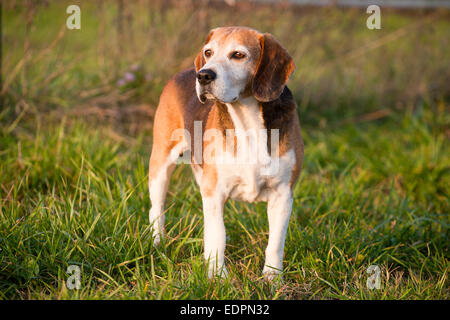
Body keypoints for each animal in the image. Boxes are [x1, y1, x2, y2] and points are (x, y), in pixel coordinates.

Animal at [148, 26, 302, 278]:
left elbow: (275, 243)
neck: (247, 120)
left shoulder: (283, 195)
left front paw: (272, 279)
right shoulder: (214, 192)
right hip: (160, 164)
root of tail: (185, 71)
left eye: (238, 55)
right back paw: (157, 242)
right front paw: (217, 277)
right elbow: (217, 235)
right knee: (157, 208)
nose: (203, 75)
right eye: (208, 52)